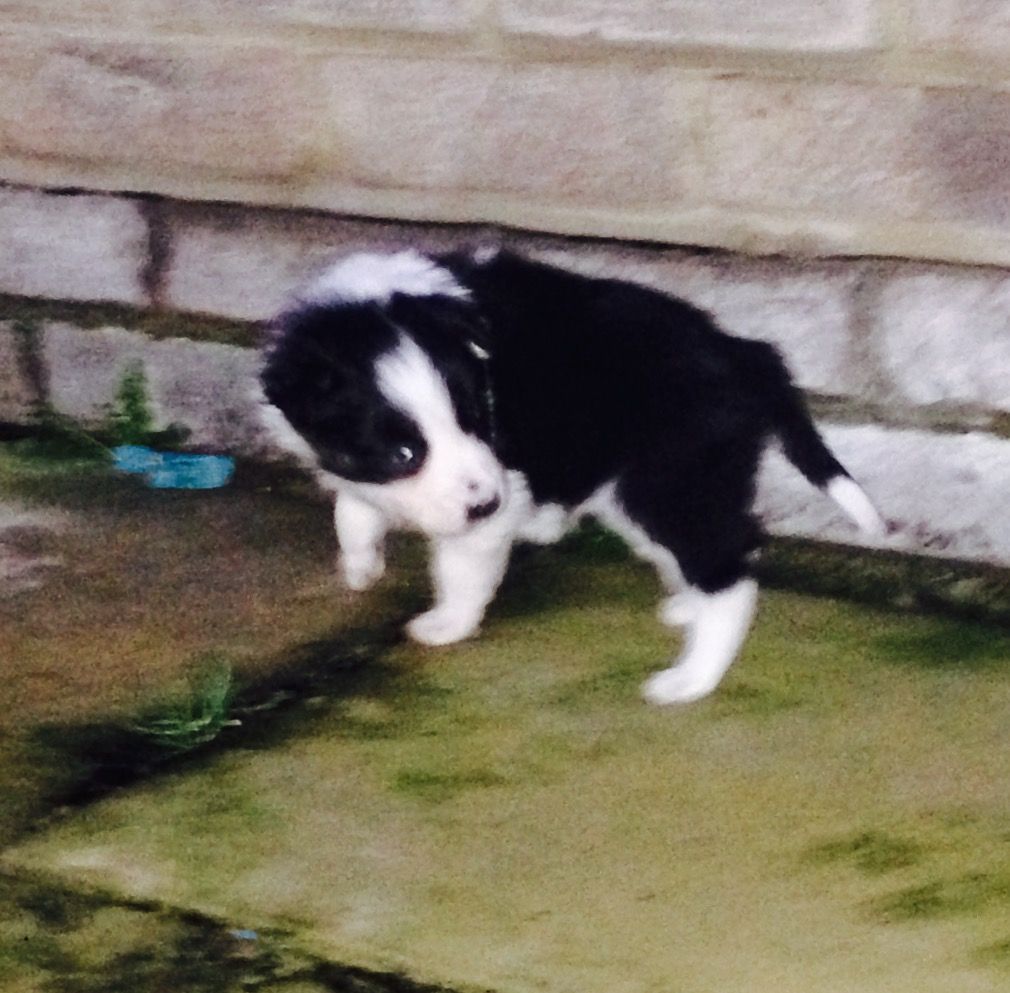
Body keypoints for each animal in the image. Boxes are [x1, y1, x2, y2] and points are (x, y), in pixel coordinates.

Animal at [262, 246, 884, 707]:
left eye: (478, 419)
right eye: (403, 453)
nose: (485, 503)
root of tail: (745, 354)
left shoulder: (499, 494)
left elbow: (462, 567)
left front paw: (448, 624)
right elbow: (352, 507)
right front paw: (361, 563)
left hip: (669, 484)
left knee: (730, 571)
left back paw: (691, 679)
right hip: (648, 491)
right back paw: (687, 608)